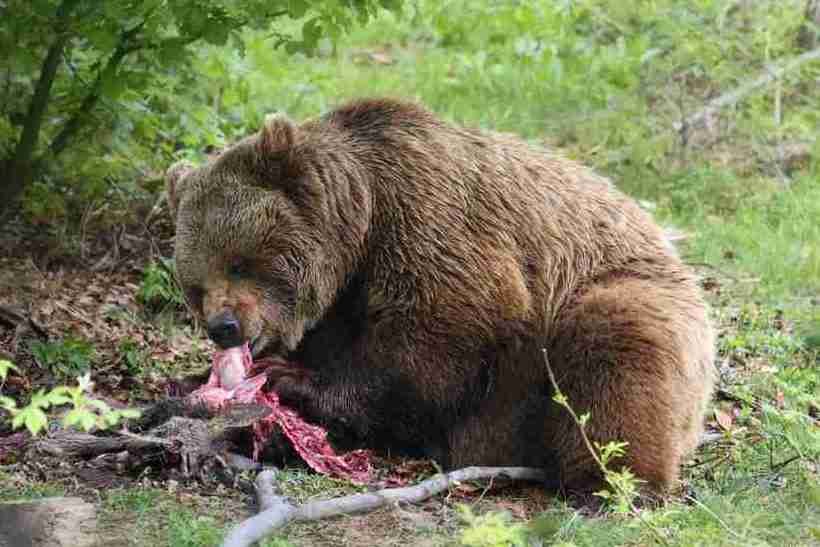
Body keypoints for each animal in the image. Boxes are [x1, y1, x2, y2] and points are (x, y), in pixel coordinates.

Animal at [163, 97, 716, 496]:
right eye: (195, 285)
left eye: (240, 261)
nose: (225, 326)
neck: (359, 226)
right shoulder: (341, 300)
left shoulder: (428, 222)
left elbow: (439, 332)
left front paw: (292, 381)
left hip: (624, 293)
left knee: (617, 345)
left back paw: (607, 483)